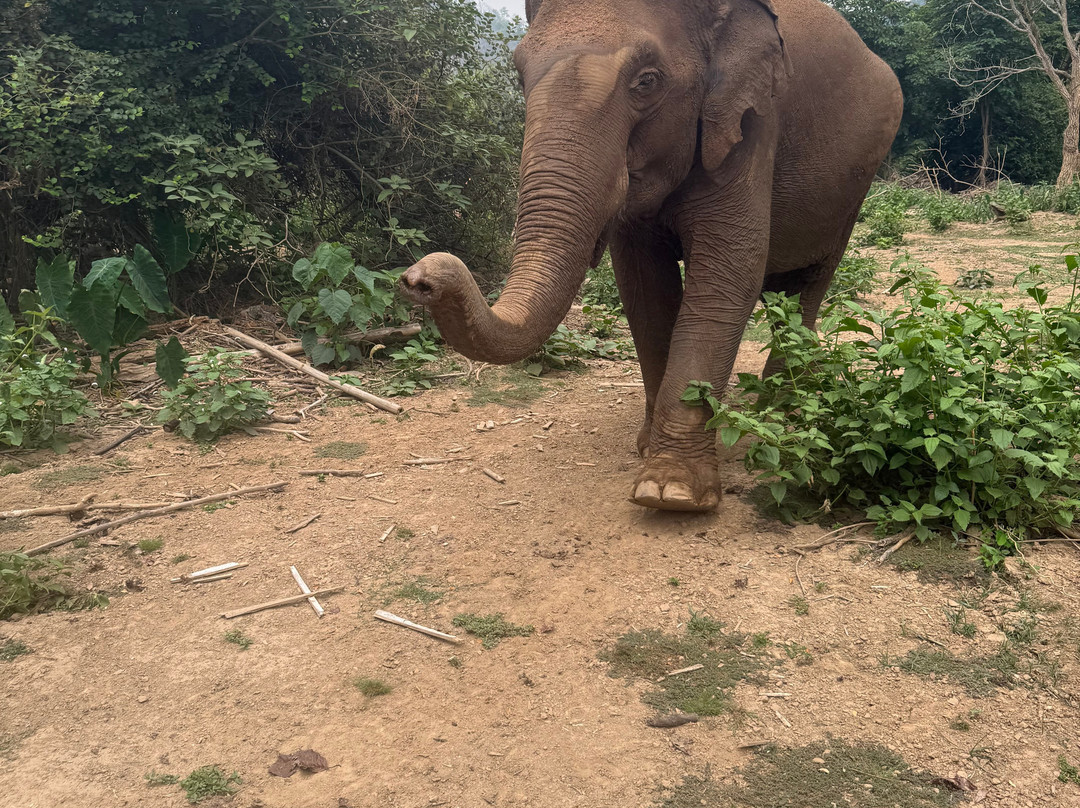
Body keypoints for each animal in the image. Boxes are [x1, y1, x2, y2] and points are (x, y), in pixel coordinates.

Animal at [400, 0, 902, 512]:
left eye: (647, 81)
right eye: (519, 76)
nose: (418, 278)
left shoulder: (754, 123)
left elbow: (728, 276)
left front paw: (670, 492)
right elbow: (645, 288)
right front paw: (646, 449)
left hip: (855, 189)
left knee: (808, 286)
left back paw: (780, 414)